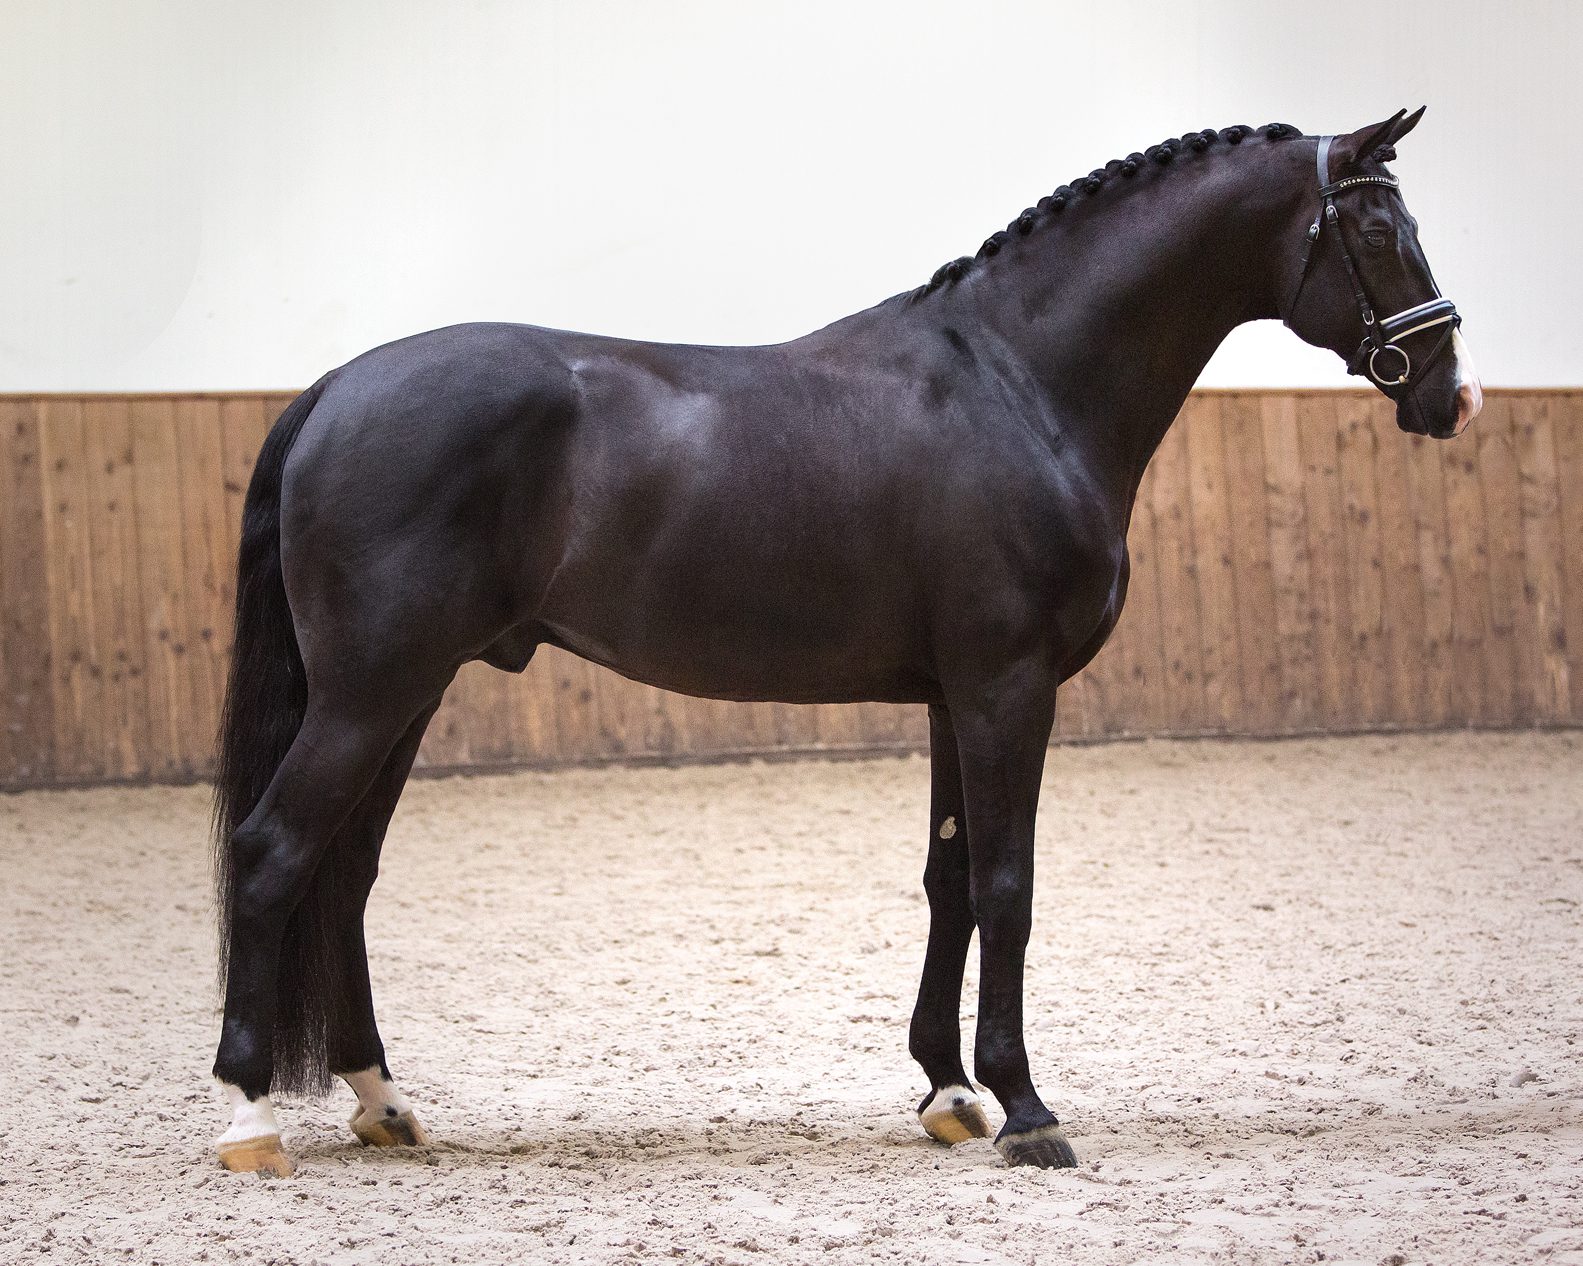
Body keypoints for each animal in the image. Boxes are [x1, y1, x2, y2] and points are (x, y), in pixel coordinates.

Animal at [209, 108, 1481, 1176]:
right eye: (1377, 230)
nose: (1449, 393)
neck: (1018, 383)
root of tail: (333, 389)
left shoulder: (952, 696)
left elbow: (950, 880)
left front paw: (948, 1091)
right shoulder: (1007, 688)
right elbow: (1009, 884)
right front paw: (1026, 1110)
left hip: (405, 694)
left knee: (344, 872)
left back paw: (380, 1100)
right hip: (371, 693)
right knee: (274, 854)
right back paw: (248, 1115)